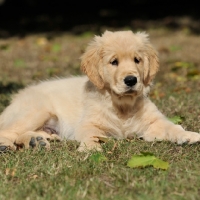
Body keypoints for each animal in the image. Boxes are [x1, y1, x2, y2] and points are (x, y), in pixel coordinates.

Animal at [0, 30, 200, 152]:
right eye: (114, 62)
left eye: (137, 60)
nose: (131, 80)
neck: (122, 105)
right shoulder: (88, 124)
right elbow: (90, 135)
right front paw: (91, 149)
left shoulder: (154, 122)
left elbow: (172, 126)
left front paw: (188, 135)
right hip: (35, 111)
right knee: (7, 131)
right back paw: (7, 145)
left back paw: (36, 141)